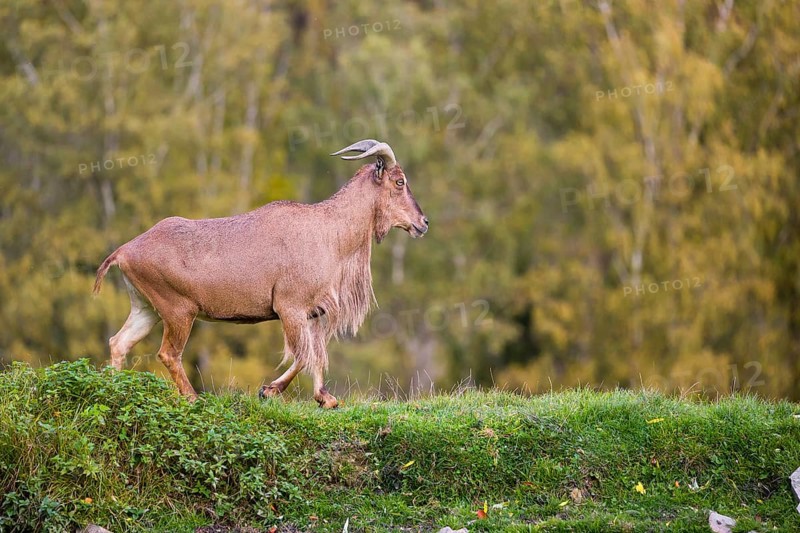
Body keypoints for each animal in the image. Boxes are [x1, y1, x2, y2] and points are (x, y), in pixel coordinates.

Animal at [93, 139, 428, 408]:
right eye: (399, 181)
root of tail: (124, 251)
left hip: (146, 308)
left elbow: (318, 354)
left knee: (119, 342)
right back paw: (193, 398)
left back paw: (113, 389)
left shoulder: (313, 314)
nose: (423, 223)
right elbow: (302, 355)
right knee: (168, 353)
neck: (328, 231)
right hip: (178, 311)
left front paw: (325, 398)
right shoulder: (290, 308)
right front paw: (268, 390)